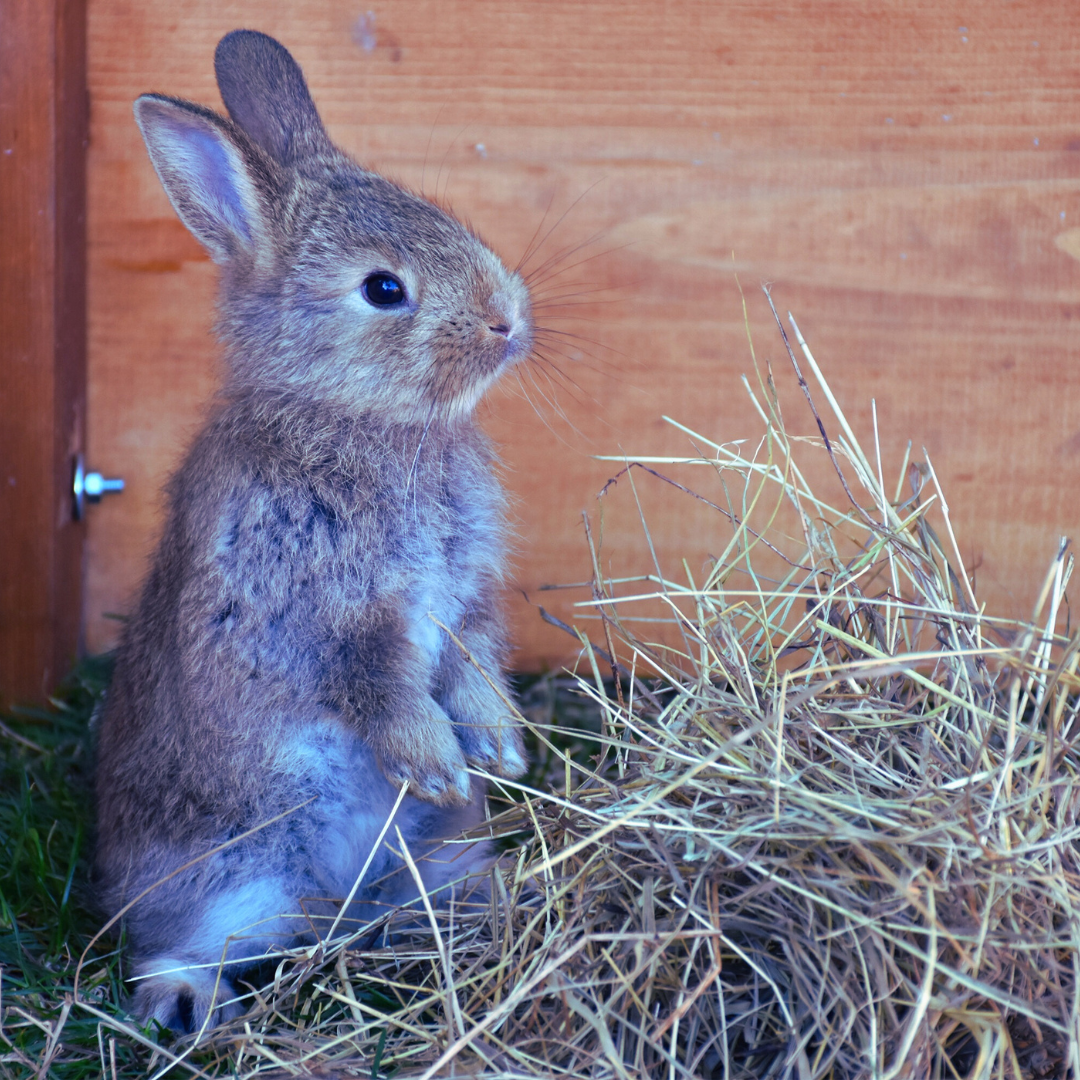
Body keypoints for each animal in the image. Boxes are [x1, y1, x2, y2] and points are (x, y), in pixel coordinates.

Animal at [93, 29, 530, 1035]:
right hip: (225, 869)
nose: (508, 319)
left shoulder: (467, 601)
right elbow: (374, 684)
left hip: (431, 859)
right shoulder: (309, 611)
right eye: (384, 289)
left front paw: (498, 749)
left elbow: (474, 662)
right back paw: (187, 1003)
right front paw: (439, 763)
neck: (353, 421)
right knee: (170, 941)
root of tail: (334, 907)